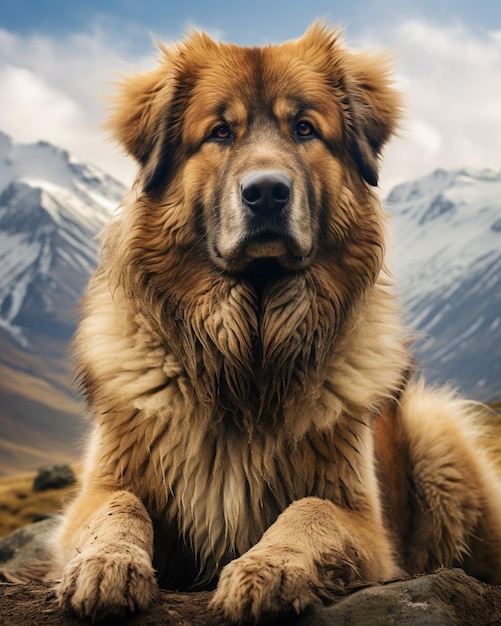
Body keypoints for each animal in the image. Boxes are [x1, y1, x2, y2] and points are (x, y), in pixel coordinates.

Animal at [46, 23, 500, 620]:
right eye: (220, 132)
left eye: (304, 128)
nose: (266, 192)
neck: (248, 358)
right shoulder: (104, 482)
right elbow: (119, 507)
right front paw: (106, 564)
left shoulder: (362, 520)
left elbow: (309, 510)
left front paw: (269, 569)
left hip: (433, 430)